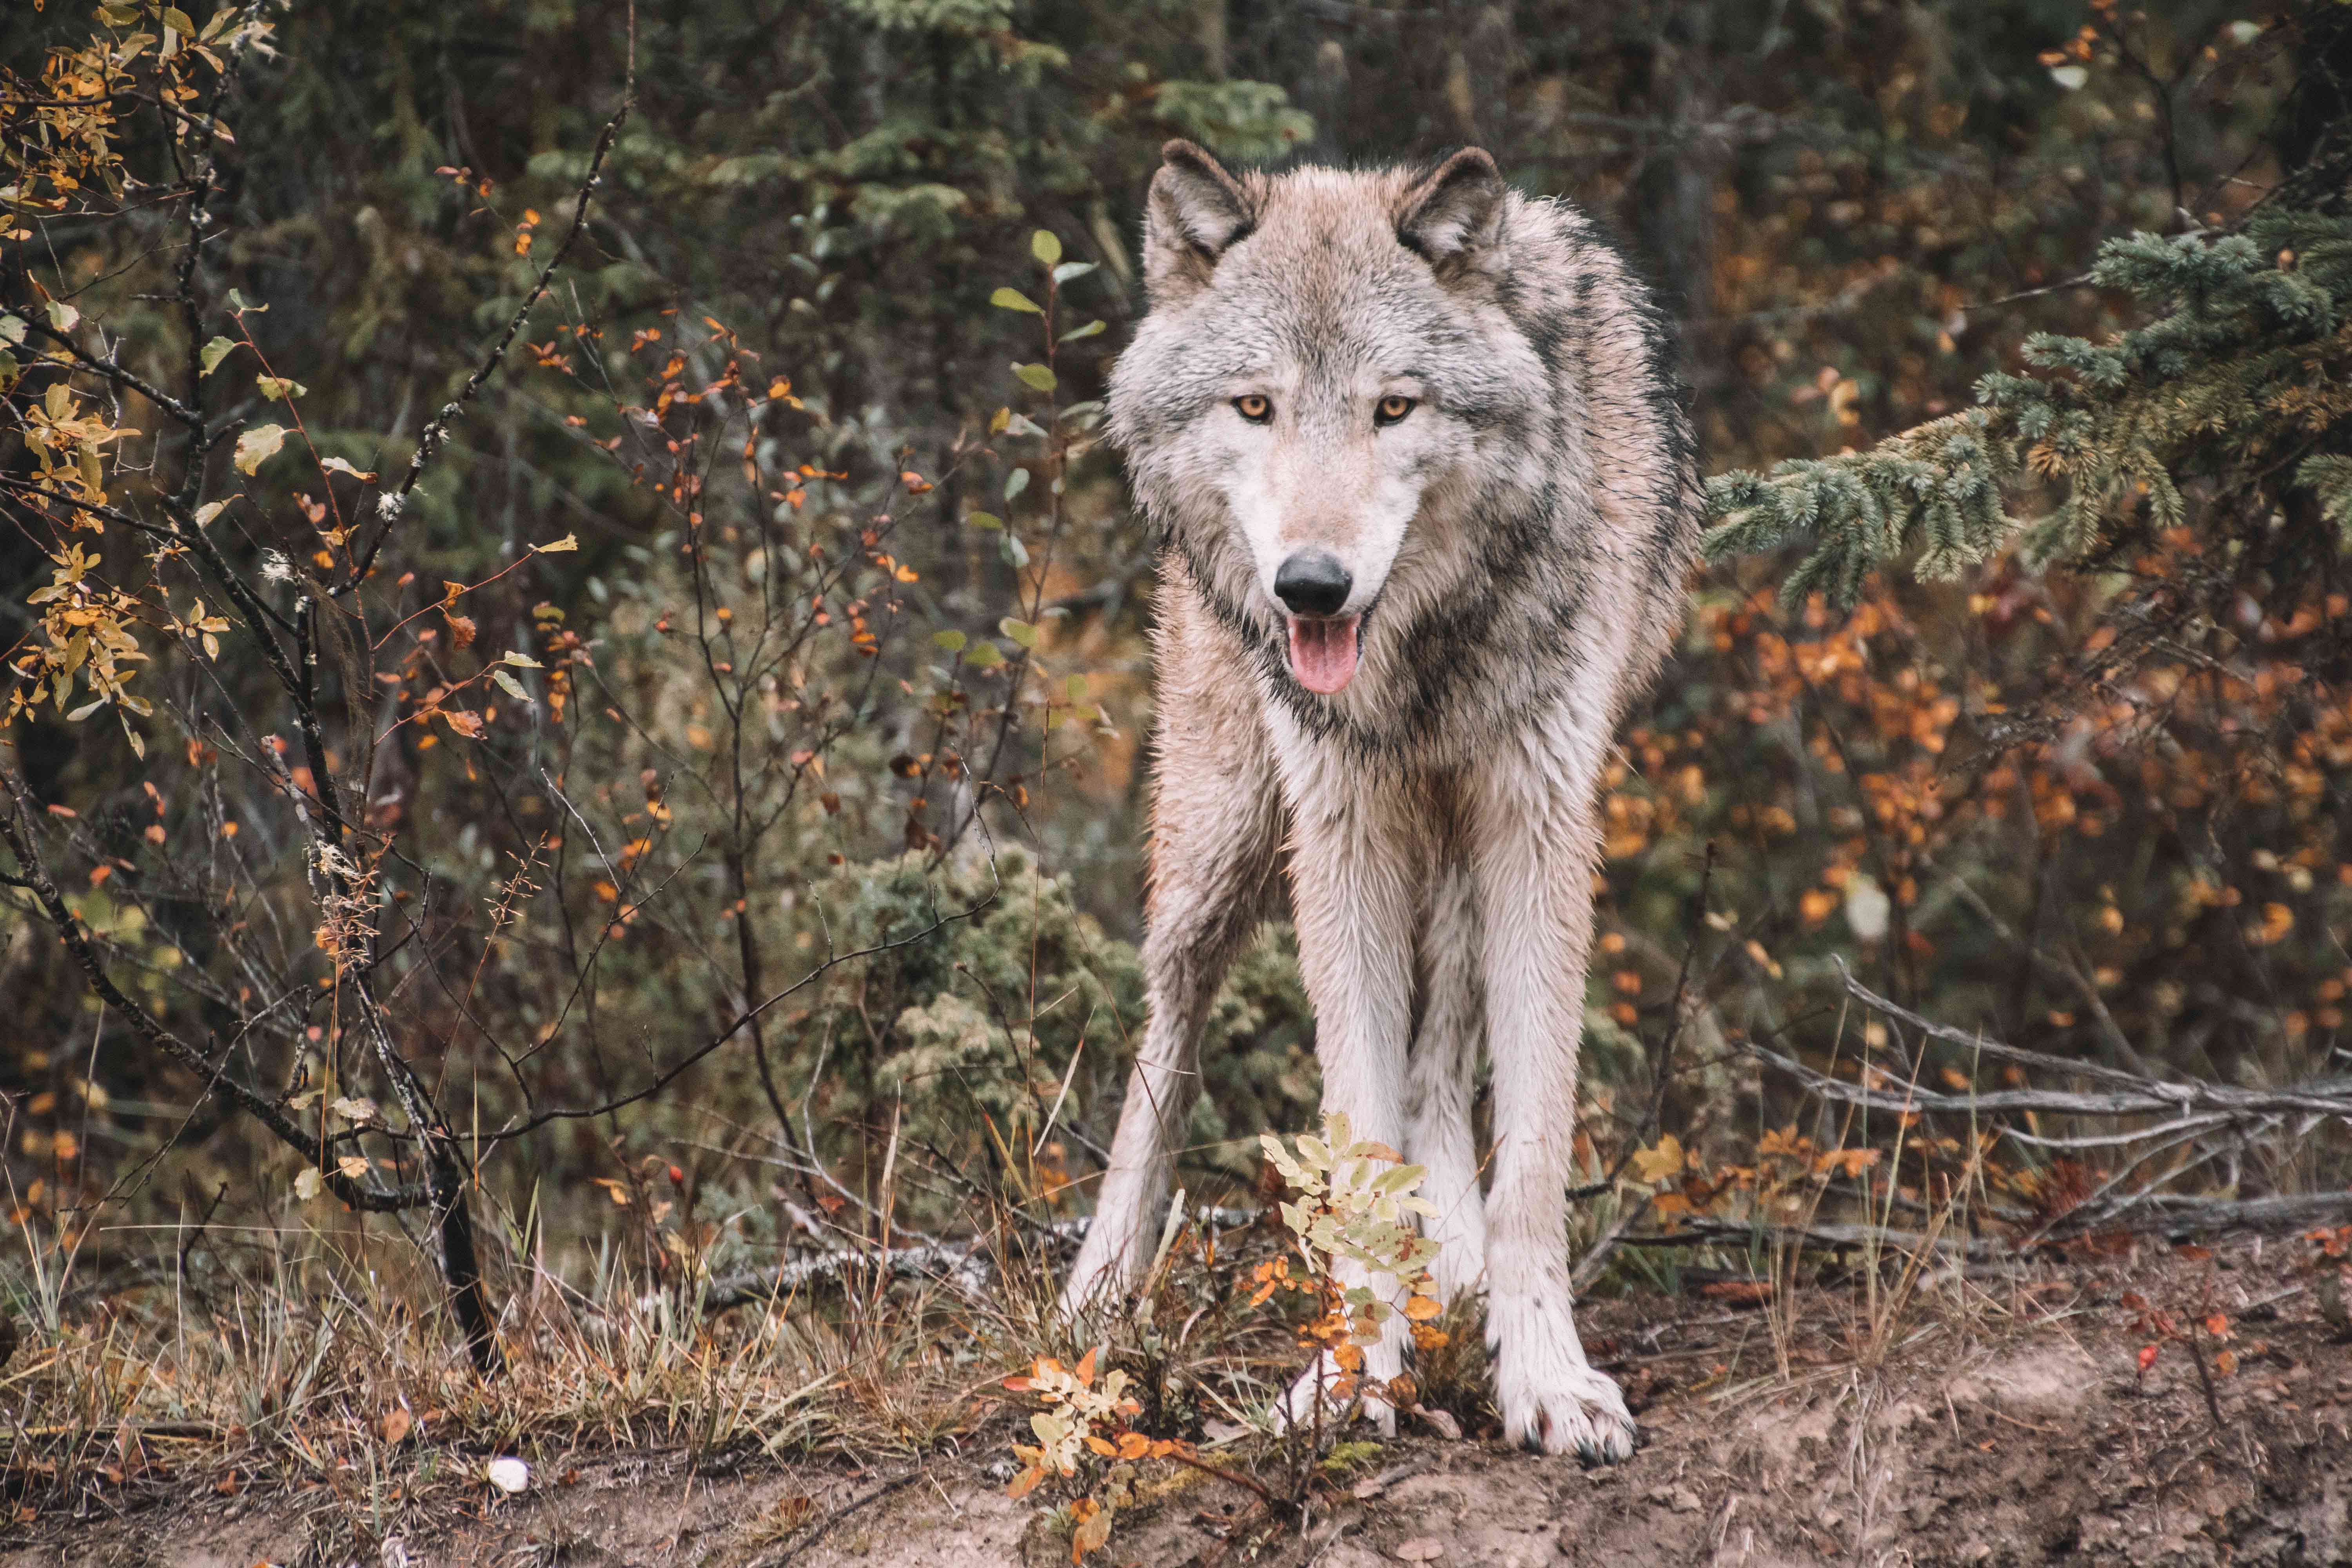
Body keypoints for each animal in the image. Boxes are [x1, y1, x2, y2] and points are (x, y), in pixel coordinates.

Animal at [1058, 141, 1703, 1467]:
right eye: (1255, 407)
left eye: (1392, 409)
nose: (1311, 586)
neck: (1424, 651)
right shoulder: (1340, 828)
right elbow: (1352, 1137)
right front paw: (1354, 1379)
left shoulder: (1540, 819)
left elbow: (1528, 1150)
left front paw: (1546, 1377)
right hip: (1223, 841)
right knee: (1167, 1035)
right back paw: (1100, 1291)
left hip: (1451, 851)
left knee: (1442, 1049)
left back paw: (1451, 1264)